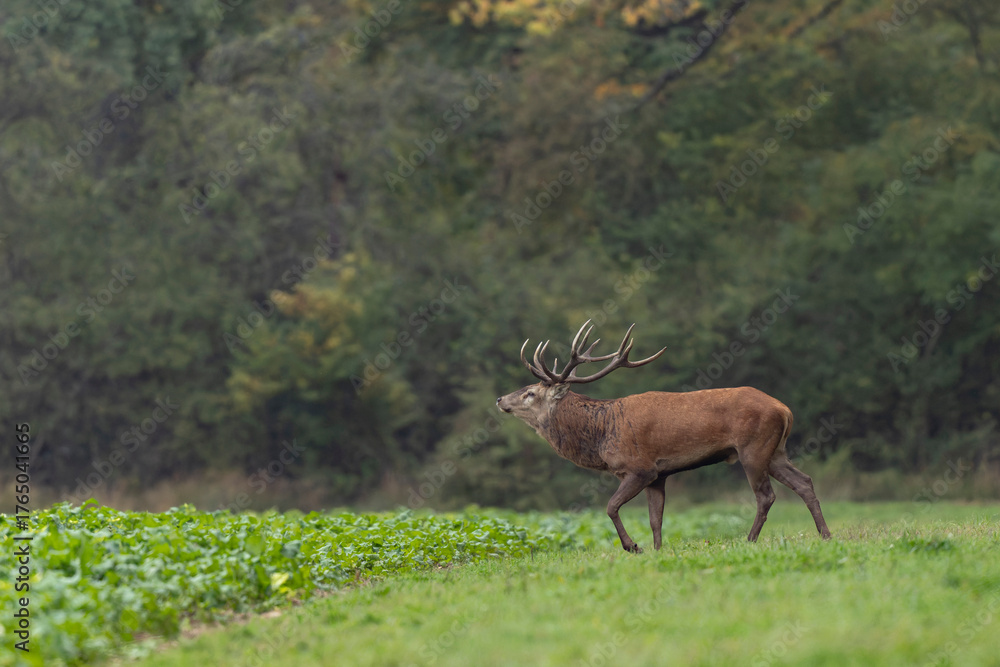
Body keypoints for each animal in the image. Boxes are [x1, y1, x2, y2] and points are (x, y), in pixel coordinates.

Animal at [496, 320, 831, 553]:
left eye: (529, 393)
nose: (500, 399)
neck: (603, 433)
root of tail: (784, 409)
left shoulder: (639, 468)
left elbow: (611, 507)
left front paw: (633, 547)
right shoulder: (659, 475)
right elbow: (655, 518)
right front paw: (658, 551)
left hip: (754, 448)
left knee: (766, 495)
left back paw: (749, 541)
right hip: (777, 451)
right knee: (805, 482)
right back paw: (826, 535)